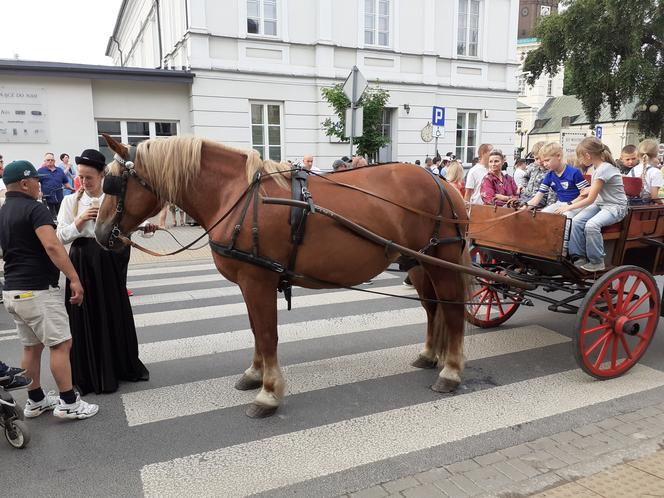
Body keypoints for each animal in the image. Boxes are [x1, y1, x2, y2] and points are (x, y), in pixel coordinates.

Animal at [94, 134, 472, 418]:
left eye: (114, 184)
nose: (98, 233)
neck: (237, 197)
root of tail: (443, 183)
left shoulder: (257, 281)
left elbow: (266, 334)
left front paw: (269, 393)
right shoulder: (249, 284)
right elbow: (255, 331)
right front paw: (254, 374)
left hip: (441, 263)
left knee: (452, 310)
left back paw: (451, 371)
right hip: (418, 264)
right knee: (433, 309)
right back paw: (430, 354)